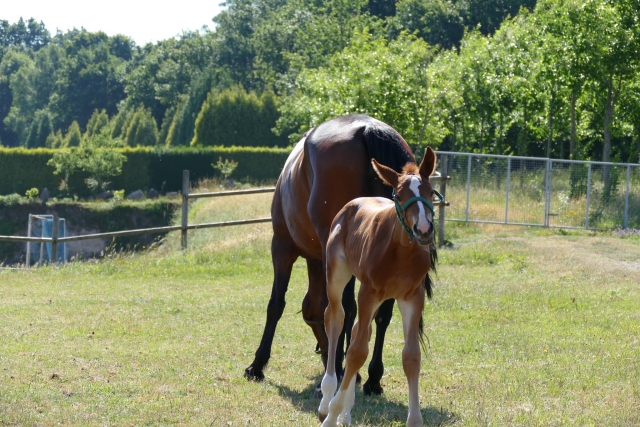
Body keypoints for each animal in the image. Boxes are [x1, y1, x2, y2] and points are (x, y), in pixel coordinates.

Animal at [244, 114, 417, 395]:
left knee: (342, 308)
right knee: (382, 313)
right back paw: (372, 378)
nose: (323, 351)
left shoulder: (282, 247)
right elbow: (320, 308)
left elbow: (278, 304)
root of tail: (366, 128)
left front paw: (257, 364)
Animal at [318, 148, 439, 427]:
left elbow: (411, 357)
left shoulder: (412, 298)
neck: (401, 252)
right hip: (338, 275)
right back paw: (327, 399)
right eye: (399, 195)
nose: (423, 229)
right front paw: (332, 413)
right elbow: (356, 352)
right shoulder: (369, 292)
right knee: (336, 319)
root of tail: (351, 205)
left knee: (359, 329)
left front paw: (414, 420)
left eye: (430, 192)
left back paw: (347, 413)